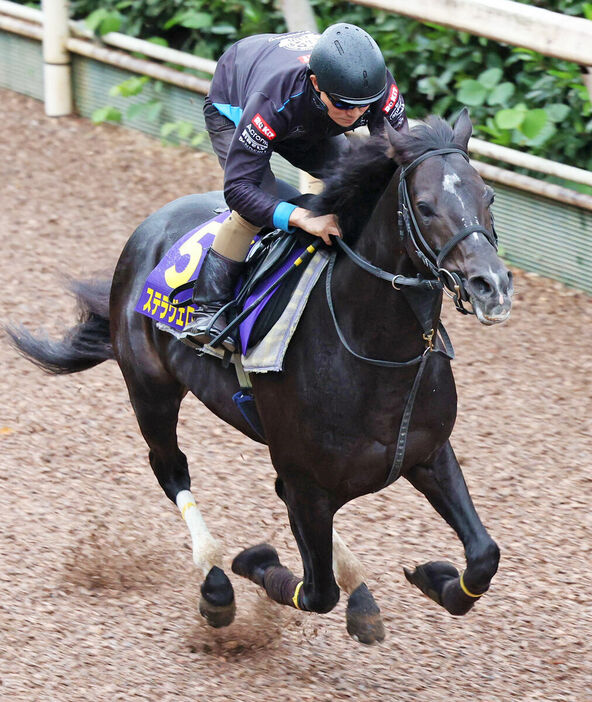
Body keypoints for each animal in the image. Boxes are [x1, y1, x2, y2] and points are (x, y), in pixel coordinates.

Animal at [6, 110, 512, 648]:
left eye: (488, 196)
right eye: (425, 206)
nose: (493, 286)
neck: (376, 355)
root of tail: (149, 228)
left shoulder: (427, 454)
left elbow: (484, 555)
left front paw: (435, 577)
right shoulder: (308, 483)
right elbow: (315, 592)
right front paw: (255, 561)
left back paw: (359, 596)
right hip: (151, 392)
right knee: (172, 471)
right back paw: (215, 584)